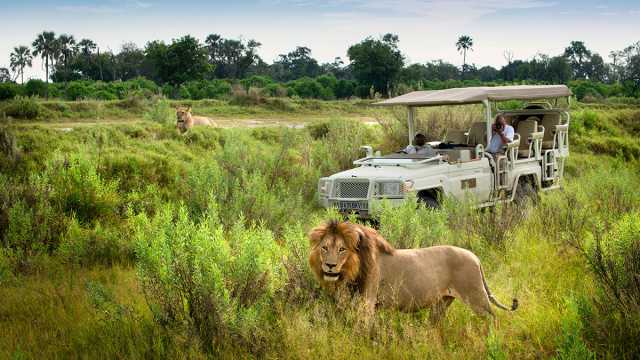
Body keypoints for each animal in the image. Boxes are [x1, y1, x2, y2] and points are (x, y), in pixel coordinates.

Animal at [308, 221, 516, 322]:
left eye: (342, 249)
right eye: (324, 248)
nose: (330, 265)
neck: (351, 270)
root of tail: (476, 257)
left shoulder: (367, 303)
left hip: (476, 298)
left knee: (493, 319)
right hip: (442, 303)